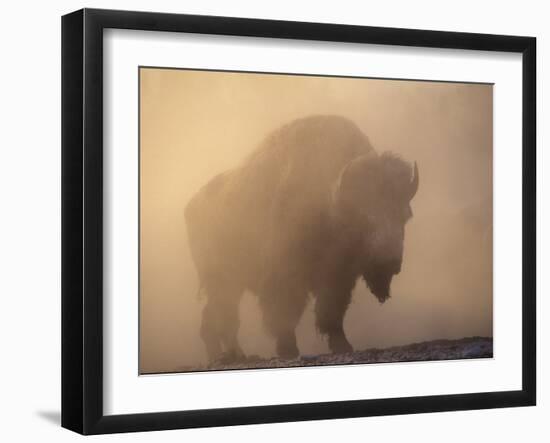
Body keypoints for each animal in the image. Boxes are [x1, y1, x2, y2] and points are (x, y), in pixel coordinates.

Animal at [183, 116, 420, 362]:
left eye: (405, 215)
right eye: (363, 217)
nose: (390, 262)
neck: (332, 202)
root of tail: (191, 207)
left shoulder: (338, 277)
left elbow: (331, 312)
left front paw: (343, 345)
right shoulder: (285, 275)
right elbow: (285, 314)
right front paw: (288, 350)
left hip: (229, 283)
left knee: (214, 319)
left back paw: (227, 356)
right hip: (222, 281)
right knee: (224, 318)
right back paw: (232, 356)